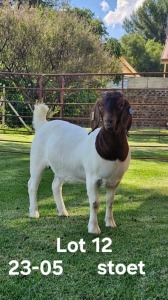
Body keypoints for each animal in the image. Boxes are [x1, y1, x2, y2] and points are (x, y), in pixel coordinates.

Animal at [27, 91, 133, 234]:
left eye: (121, 104)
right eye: (101, 105)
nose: (108, 121)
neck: (112, 154)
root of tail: (43, 124)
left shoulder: (115, 181)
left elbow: (110, 202)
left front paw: (110, 223)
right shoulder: (92, 178)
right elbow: (94, 203)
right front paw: (93, 228)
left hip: (61, 167)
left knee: (55, 186)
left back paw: (63, 212)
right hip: (37, 161)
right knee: (32, 185)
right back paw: (34, 212)